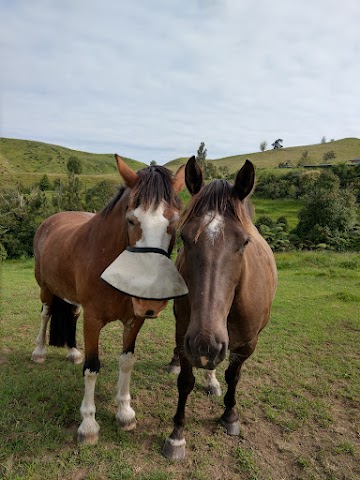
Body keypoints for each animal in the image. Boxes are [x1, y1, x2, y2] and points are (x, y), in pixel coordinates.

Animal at [31, 156, 186, 444]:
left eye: (174, 222)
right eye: (131, 220)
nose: (152, 299)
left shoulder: (134, 320)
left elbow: (126, 362)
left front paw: (125, 412)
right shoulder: (93, 321)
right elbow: (92, 368)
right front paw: (89, 425)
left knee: (71, 315)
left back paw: (72, 351)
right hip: (45, 288)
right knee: (45, 314)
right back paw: (39, 352)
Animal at [162, 158, 278, 462]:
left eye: (244, 242)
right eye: (185, 238)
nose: (206, 344)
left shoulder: (247, 344)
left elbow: (233, 377)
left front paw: (230, 416)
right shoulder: (186, 336)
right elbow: (185, 381)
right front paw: (177, 435)